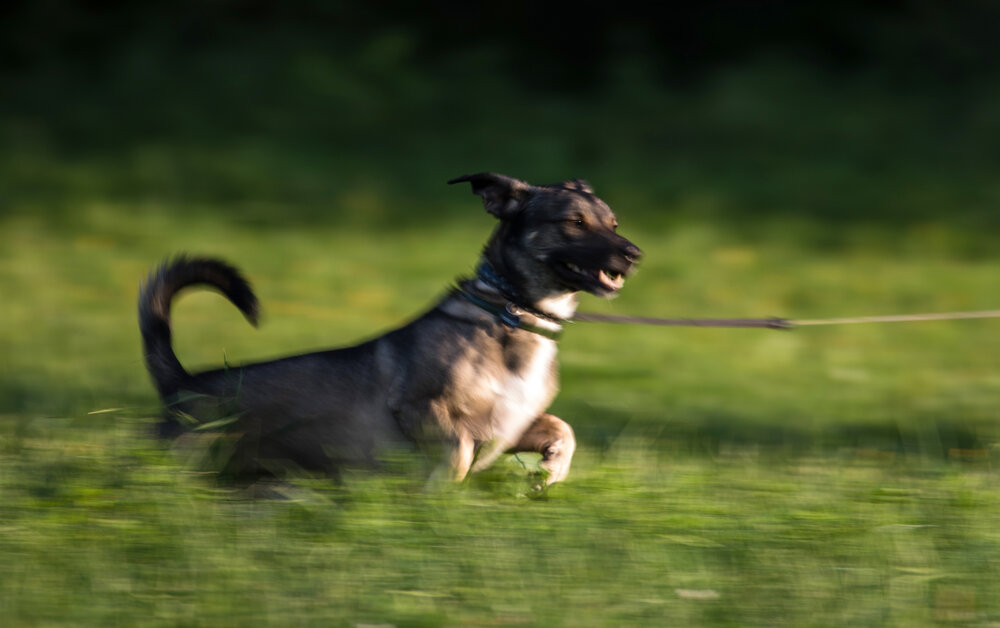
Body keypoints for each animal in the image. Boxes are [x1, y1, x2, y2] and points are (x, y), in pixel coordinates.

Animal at [139, 172, 640, 486]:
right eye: (574, 222)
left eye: (614, 223)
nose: (635, 253)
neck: (511, 313)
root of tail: (181, 384)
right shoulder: (424, 411)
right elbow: (456, 455)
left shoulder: (510, 423)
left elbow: (562, 428)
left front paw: (552, 471)